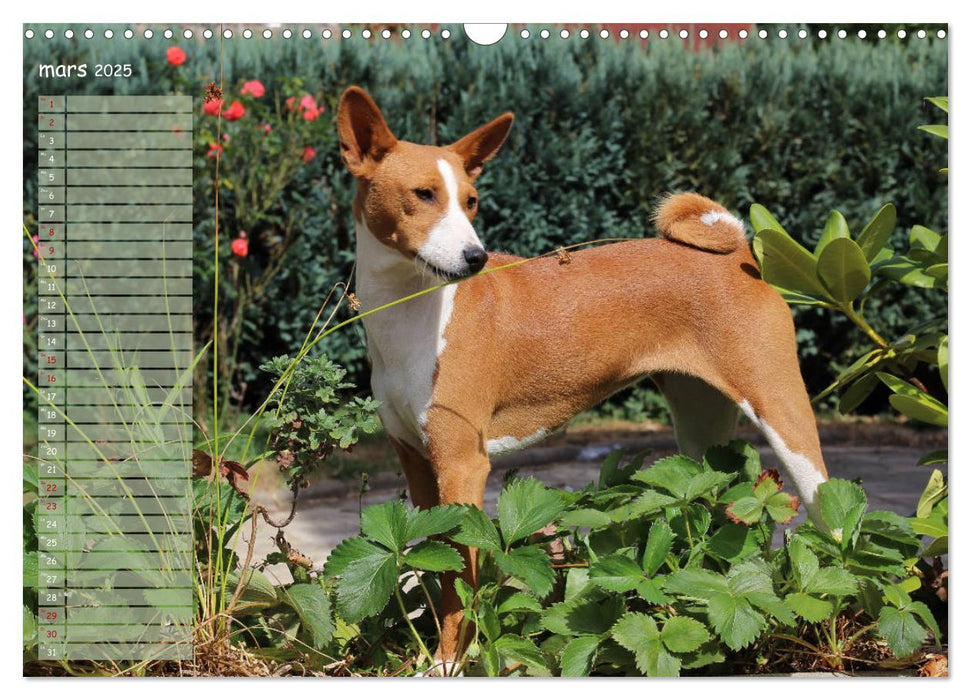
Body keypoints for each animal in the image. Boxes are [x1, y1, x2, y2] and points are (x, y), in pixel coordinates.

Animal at [336, 85, 828, 668]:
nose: (475, 257)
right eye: (423, 194)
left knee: (835, 519)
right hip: (701, 423)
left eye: (471, 200)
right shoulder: (416, 462)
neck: (414, 314)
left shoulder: (461, 464)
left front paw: (449, 663)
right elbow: (436, 569)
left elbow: (461, 580)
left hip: (782, 413)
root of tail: (738, 256)